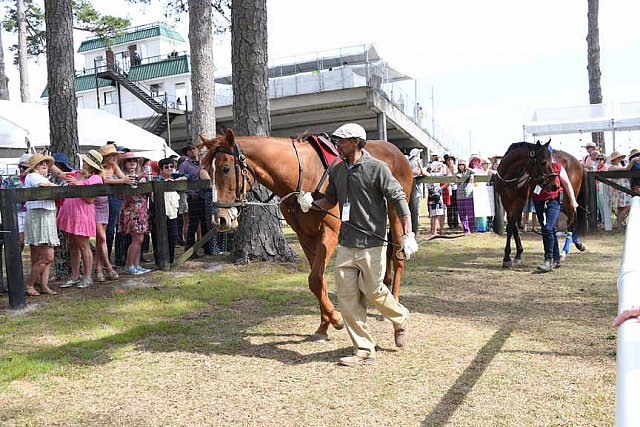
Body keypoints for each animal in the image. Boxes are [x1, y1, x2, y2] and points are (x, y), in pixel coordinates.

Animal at [200, 129, 412, 342]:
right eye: (208, 170)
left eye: (225, 168)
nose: (219, 219)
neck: (302, 176)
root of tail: (398, 152)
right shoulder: (305, 236)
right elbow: (318, 281)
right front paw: (324, 325)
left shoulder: (330, 233)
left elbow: (315, 278)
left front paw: (336, 318)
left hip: (395, 211)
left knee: (397, 256)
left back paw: (395, 302)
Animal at [496, 140, 584, 268]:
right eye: (543, 162)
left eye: (551, 161)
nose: (555, 185)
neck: (510, 175)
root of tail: (578, 163)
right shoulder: (506, 201)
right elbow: (513, 226)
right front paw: (517, 254)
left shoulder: (519, 201)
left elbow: (511, 224)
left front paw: (507, 257)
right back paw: (577, 244)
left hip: (568, 199)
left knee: (572, 221)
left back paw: (564, 252)